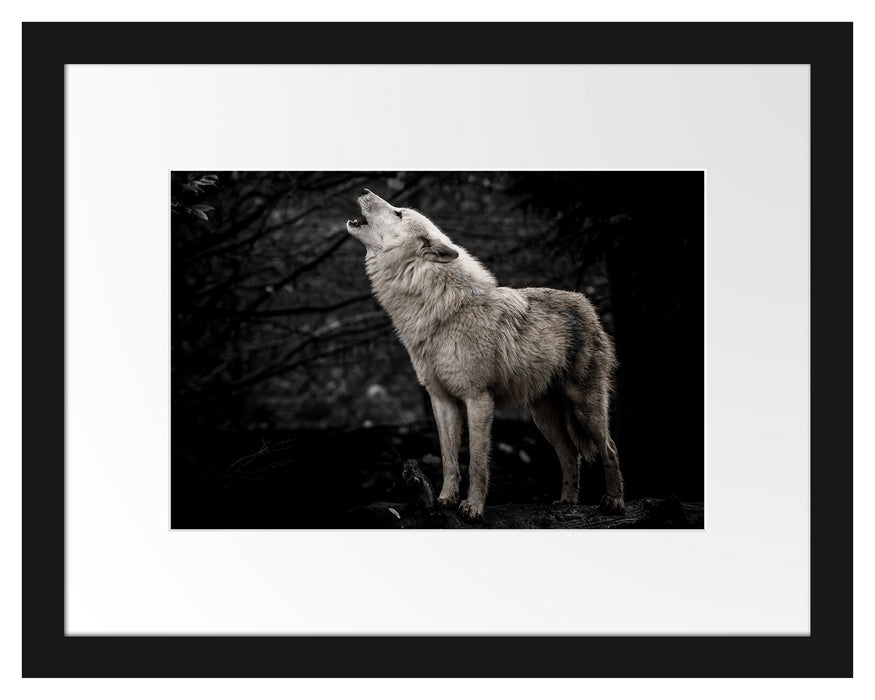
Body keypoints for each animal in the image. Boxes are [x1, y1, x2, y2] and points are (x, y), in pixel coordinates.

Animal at [347, 189, 624, 522]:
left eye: (398, 213)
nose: (365, 191)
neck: (440, 310)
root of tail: (585, 303)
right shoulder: (441, 400)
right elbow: (449, 459)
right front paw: (445, 500)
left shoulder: (478, 398)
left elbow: (478, 462)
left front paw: (473, 508)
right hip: (543, 417)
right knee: (570, 454)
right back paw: (567, 502)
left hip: (585, 407)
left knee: (609, 448)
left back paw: (614, 502)